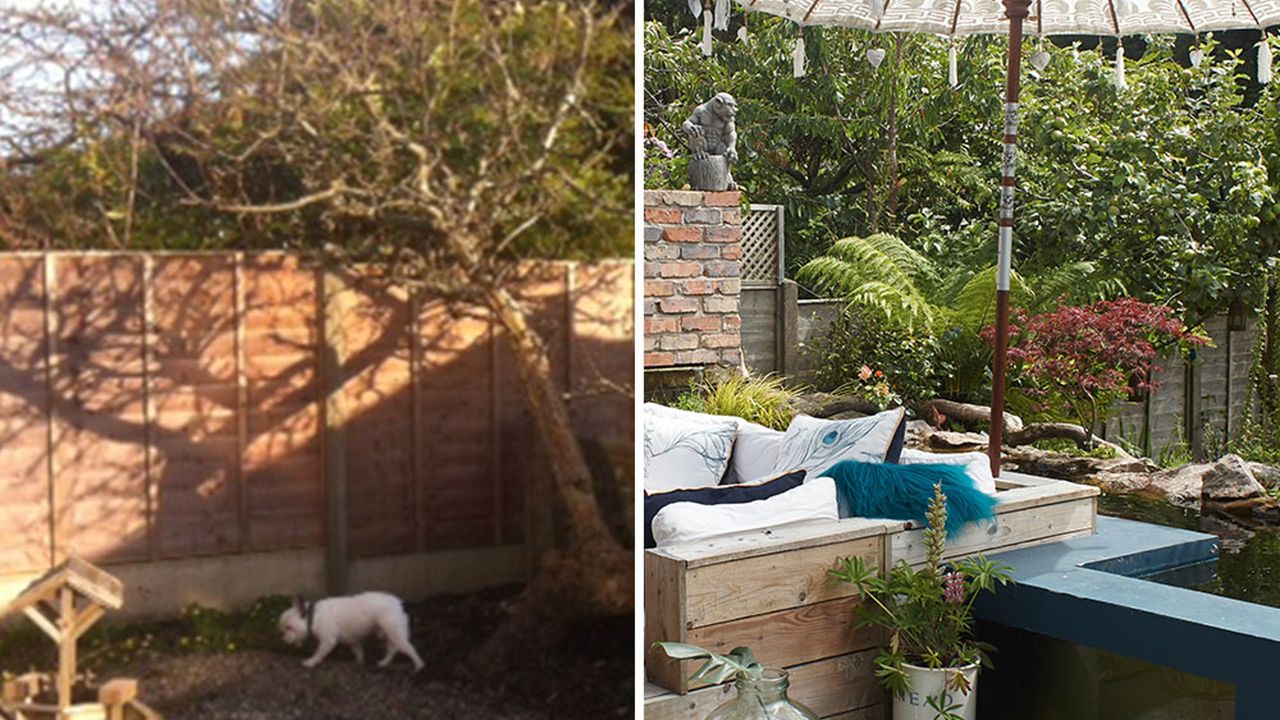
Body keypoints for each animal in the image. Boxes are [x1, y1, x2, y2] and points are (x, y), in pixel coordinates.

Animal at [280, 589, 424, 666]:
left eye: (289, 628)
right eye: (283, 628)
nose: (282, 636)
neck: (313, 616)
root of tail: (399, 604)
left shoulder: (328, 641)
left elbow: (319, 653)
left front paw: (310, 662)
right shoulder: (353, 641)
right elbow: (358, 652)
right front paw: (359, 662)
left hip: (393, 631)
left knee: (408, 648)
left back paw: (418, 666)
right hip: (387, 632)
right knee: (392, 649)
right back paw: (384, 662)